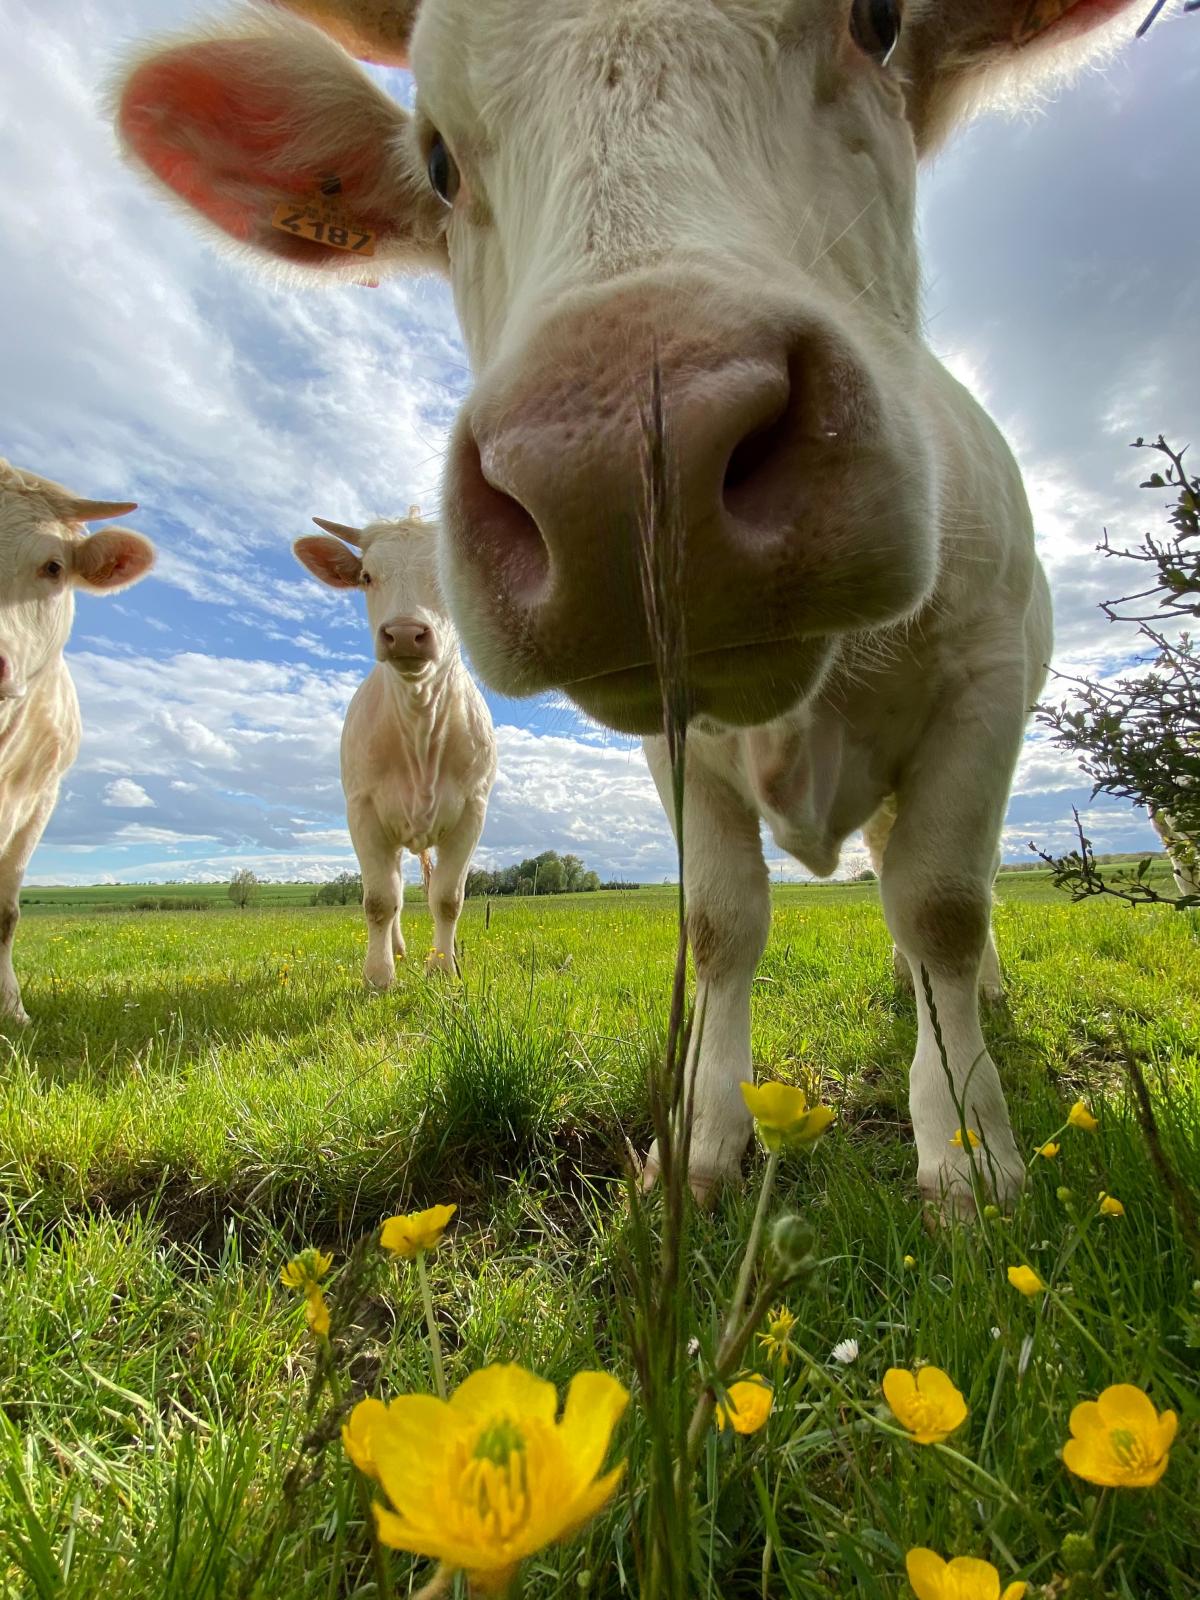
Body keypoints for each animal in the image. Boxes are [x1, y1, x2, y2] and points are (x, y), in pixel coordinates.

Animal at [294, 505, 496, 979]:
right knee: (397, 890)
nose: (404, 633)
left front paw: (444, 967)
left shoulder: (472, 811)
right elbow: (381, 899)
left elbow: (448, 897)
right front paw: (379, 976)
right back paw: (399, 949)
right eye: (367, 576)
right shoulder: (363, 810)